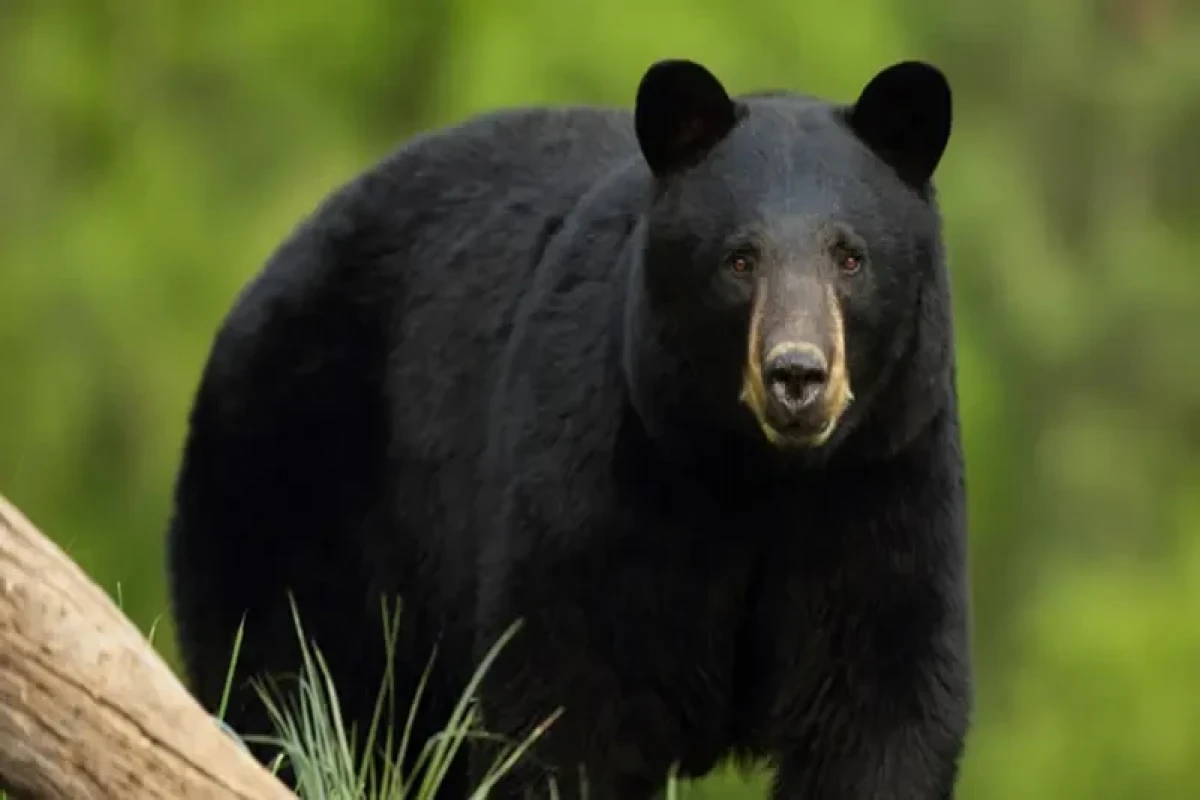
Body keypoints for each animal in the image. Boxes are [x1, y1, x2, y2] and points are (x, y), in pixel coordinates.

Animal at [165, 56, 972, 800]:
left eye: (851, 256)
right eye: (739, 260)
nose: (797, 374)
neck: (756, 475)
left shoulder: (884, 477)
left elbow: (878, 704)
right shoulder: (606, 472)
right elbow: (568, 699)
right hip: (292, 479)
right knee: (290, 682)